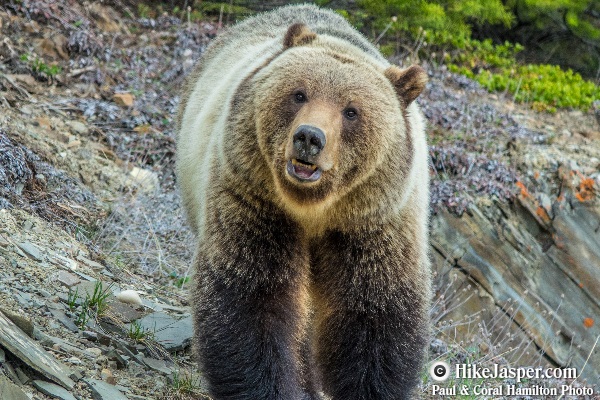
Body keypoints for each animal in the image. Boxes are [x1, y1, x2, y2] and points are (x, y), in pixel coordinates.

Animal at [176, 3, 428, 400]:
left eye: (351, 110)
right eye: (299, 93)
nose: (309, 137)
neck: (315, 209)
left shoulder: (373, 223)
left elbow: (374, 315)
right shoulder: (255, 202)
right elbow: (254, 298)